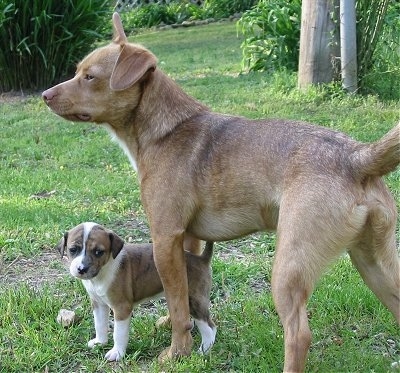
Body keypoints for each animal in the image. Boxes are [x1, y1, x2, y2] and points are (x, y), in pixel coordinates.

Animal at [57, 222, 216, 358]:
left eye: (98, 252)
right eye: (73, 250)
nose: (82, 269)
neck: (103, 271)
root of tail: (201, 259)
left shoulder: (122, 307)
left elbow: (119, 333)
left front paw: (117, 353)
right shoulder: (98, 304)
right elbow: (99, 324)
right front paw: (100, 342)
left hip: (194, 300)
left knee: (210, 327)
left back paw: (203, 351)